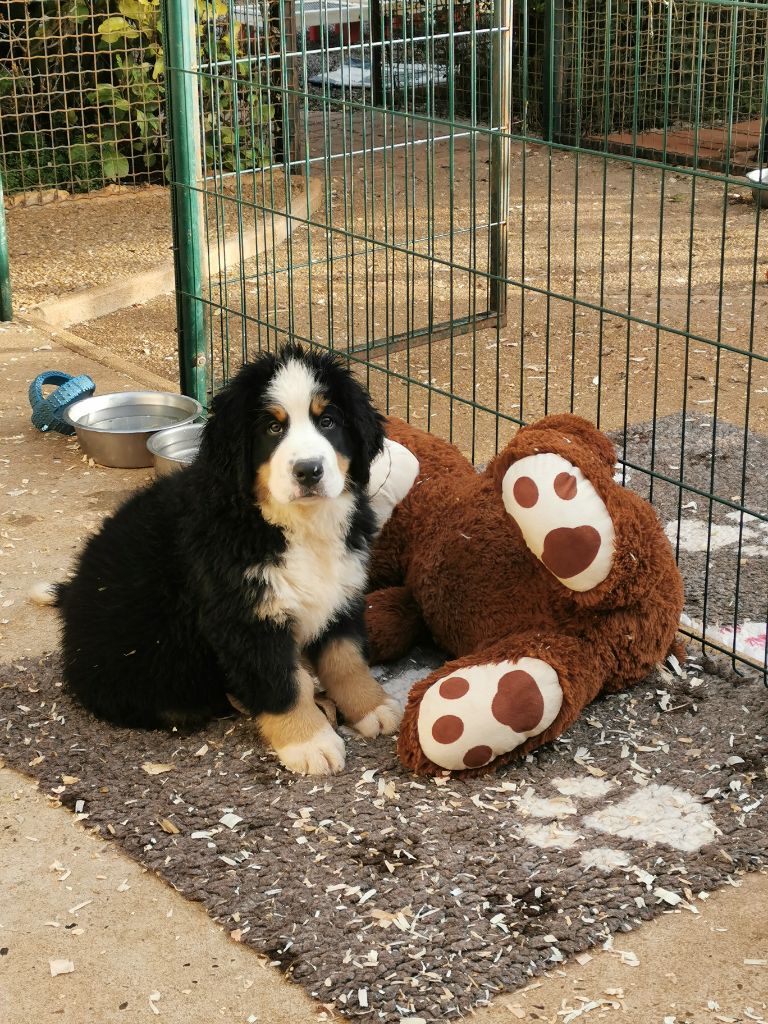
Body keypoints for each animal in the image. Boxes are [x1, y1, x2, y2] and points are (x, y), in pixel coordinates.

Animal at [39, 344, 405, 774]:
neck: (289, 523)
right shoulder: (243, 616)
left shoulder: (341, 592)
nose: (309, 471)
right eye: (273, 428)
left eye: (328, 421)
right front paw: (309, 742)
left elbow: (346, 660)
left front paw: (372, 707)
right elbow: (282, 683)